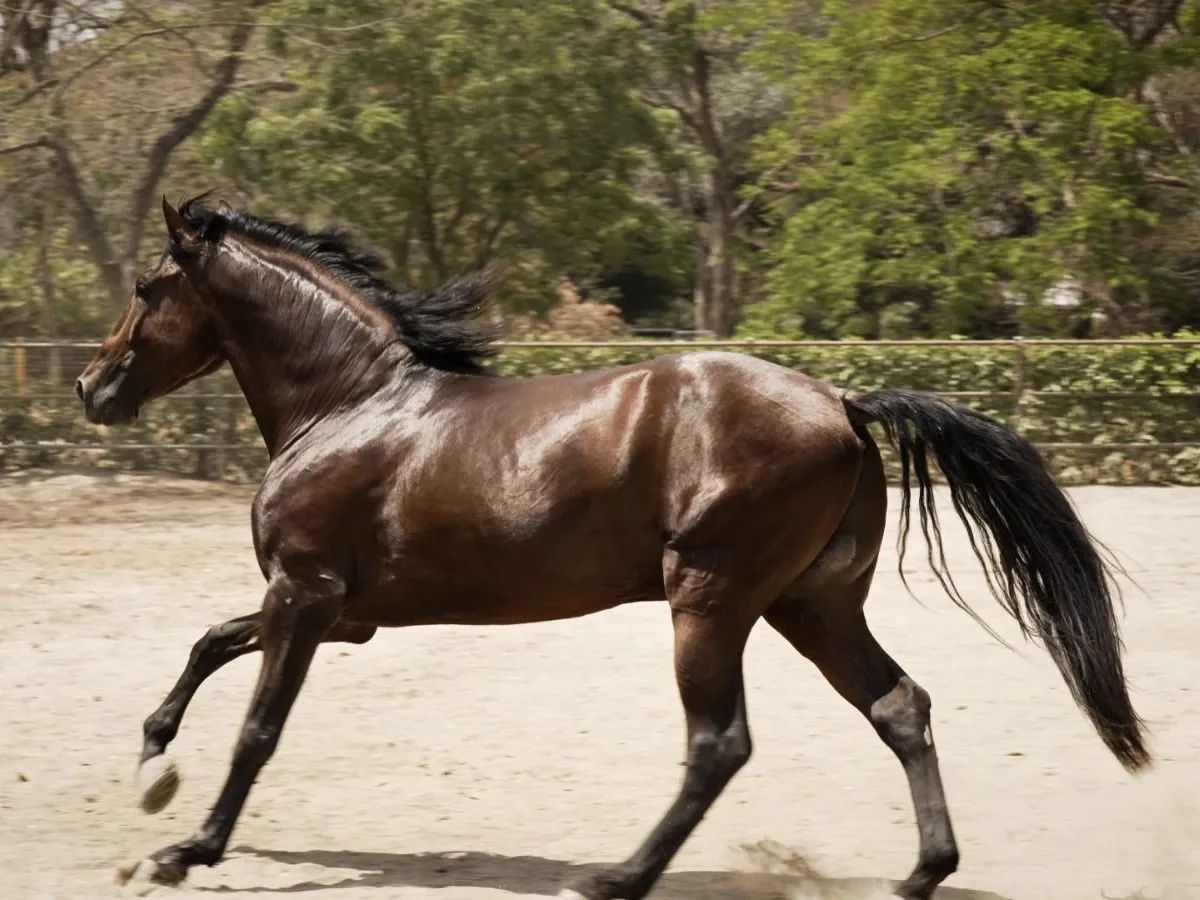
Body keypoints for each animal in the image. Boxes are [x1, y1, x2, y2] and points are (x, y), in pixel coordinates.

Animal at [76, 196, 1149, 899]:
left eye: (146, 285)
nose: (93, 388)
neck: (350, 405)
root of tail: (843, 402)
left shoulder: (306, 595)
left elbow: (258, 725)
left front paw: (183, 849)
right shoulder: (346, 614)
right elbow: (212, 643)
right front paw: (152, 763)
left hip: (711, 598)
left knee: (720, 743)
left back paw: (615, 878)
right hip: (810, 604)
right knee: (900, 707)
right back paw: (919, 875)